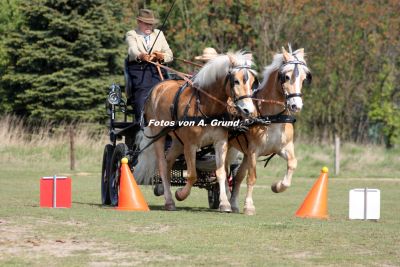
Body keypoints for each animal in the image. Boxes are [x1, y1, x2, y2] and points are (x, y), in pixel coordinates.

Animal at [134, 51, 258, 211]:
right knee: (162, 165)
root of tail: (156, 89)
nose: (248, 110)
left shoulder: (220, 142)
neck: (206, 106)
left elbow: (221, 173)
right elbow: (192, 175)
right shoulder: (190, 145)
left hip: (177, 141)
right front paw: (180, 194)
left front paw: (225, 203)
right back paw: (169, 201)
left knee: (168, 163)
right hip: (159, 135)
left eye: (253, 82)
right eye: (236, 81)